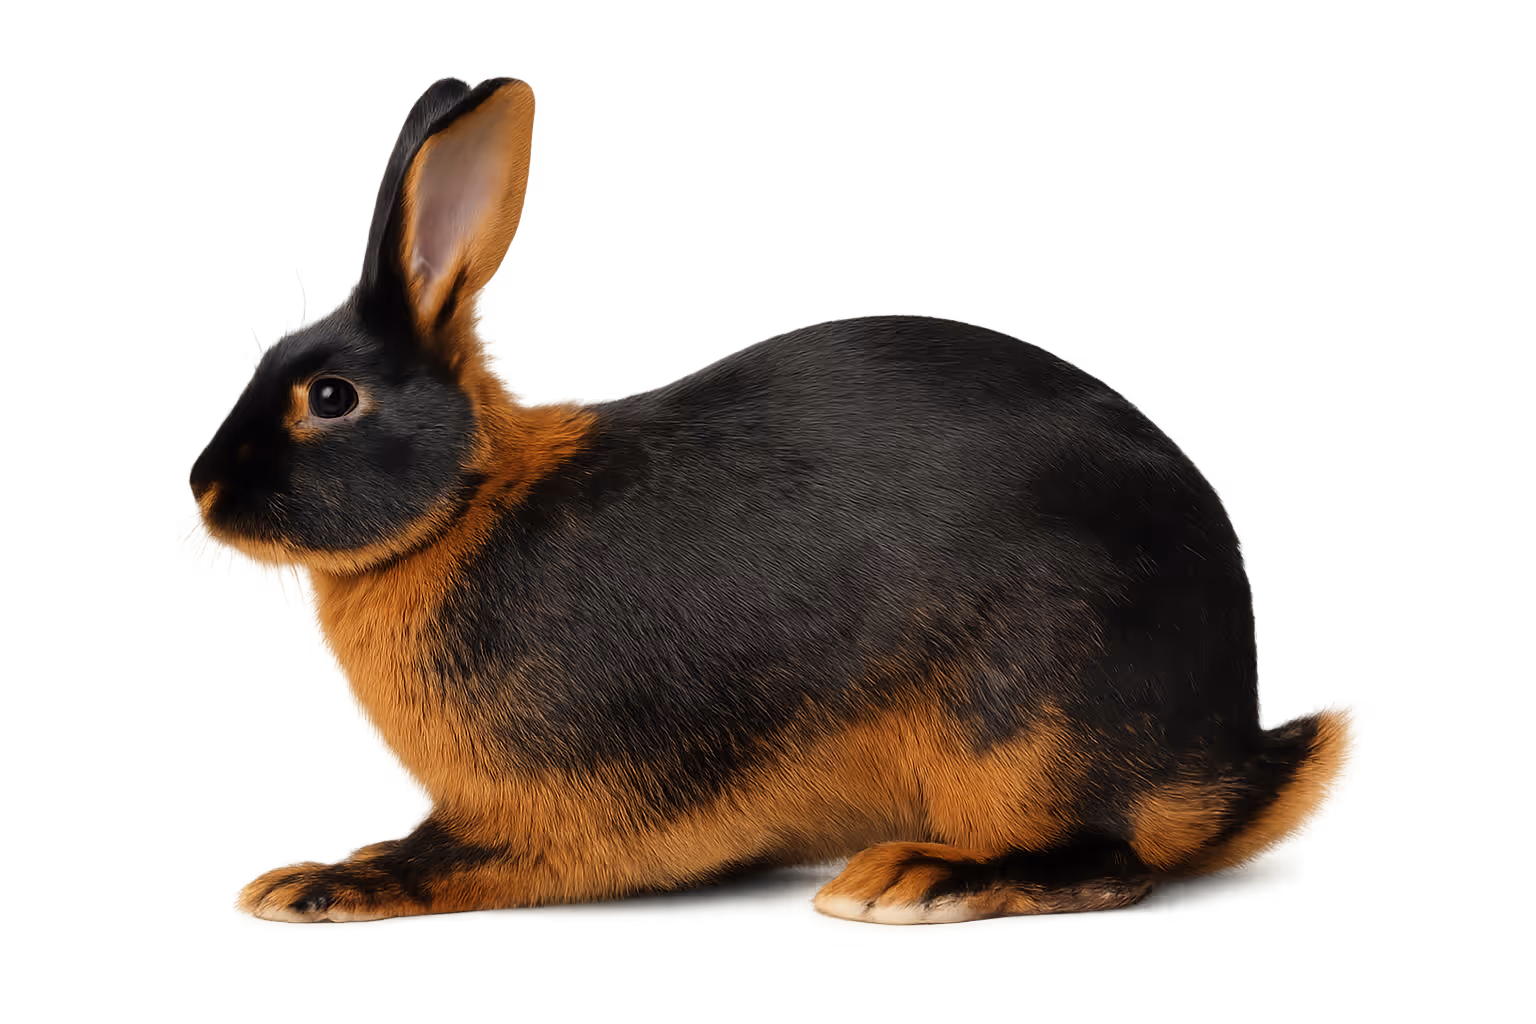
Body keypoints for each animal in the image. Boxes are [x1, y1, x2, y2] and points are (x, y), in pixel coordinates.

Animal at [190, 76, 1338, 925]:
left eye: (329, 397)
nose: (202, 486)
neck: (467, 501)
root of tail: (1229, 750)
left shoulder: (561, 800)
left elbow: (475, 855)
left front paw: (315, 884)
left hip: (1026, 720)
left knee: (1111, 851)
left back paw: (910, 879)